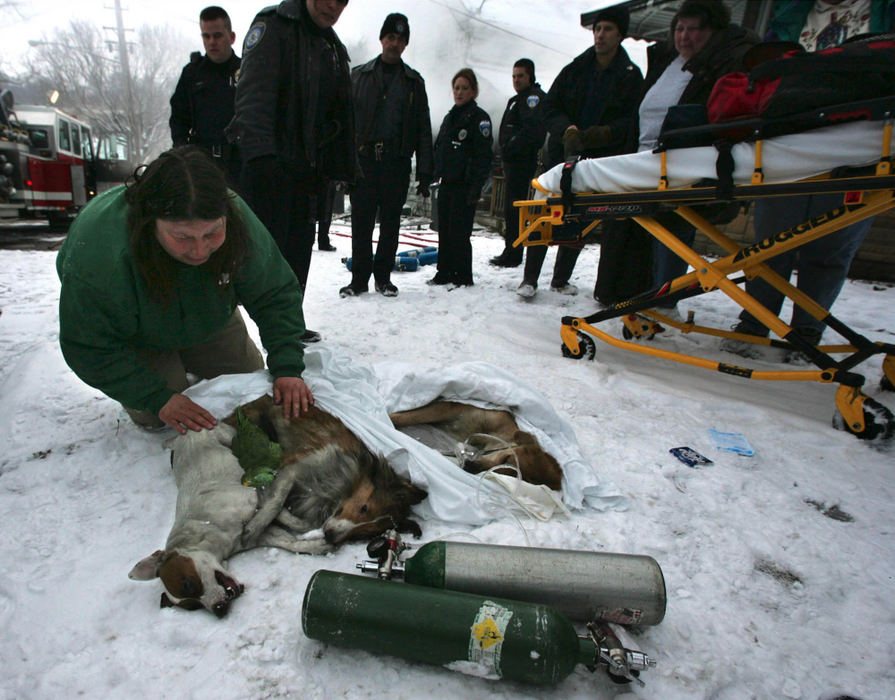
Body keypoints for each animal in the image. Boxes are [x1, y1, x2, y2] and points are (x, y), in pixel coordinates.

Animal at [127, 396, 430, 616]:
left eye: (365, 534)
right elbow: (275, 499)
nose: (332, 536)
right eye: (365, 507)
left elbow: (294, 528)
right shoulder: (293, 468)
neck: (342, 486)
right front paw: (260, 522)